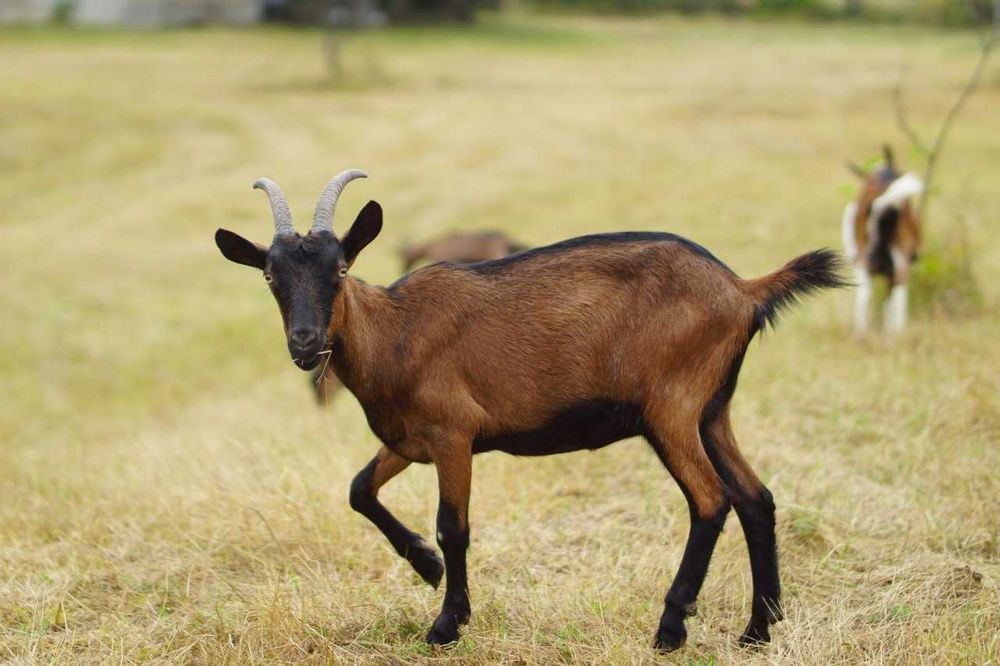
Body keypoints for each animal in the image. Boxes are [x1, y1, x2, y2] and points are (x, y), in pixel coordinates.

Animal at [215, 170, 845, 650]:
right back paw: (758, 630)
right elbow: (359, 490)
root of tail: (743, 289)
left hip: (671, 408)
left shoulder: (453, 433)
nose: (305, 342)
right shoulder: (407, 440)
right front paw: (426, 567)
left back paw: (671, 627)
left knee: (711, 501)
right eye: (270, 276)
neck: (396, 333)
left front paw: (446, 624)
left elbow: (454, 527)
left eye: (340, 270)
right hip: (712, 411)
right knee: (755, 499)